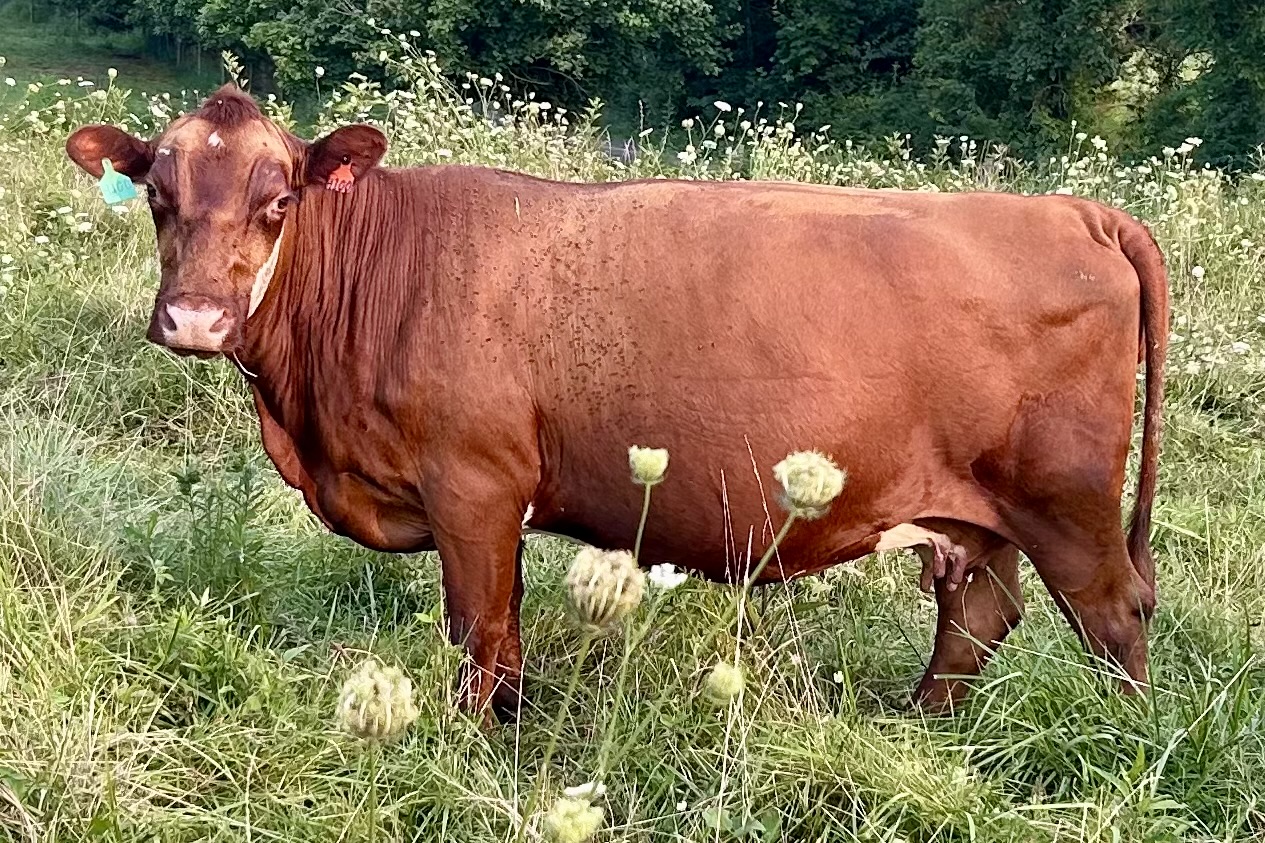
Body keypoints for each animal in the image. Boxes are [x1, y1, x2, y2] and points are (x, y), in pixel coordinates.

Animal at [65, 84, 1168, 718]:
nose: (195, 317)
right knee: (977, 611)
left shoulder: (474, 489)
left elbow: (482, 634)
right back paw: (919, 725)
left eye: (280, 198)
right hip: (977, 514)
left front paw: (476, 742)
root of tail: (1072, 209)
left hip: (1066, 503)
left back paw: (1124, 741)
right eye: (156, 194)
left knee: (1112, 617)